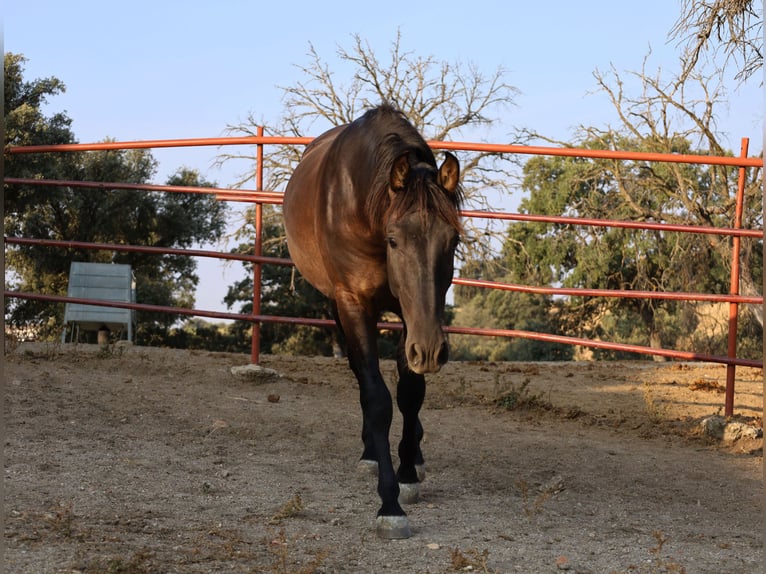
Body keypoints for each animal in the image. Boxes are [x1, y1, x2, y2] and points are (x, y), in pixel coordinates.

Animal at [282, 104, 462, 540]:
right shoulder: (352, 302)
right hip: (337, 304)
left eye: (452, 241)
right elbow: (376, 397)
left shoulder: (414, 317)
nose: (432, 351)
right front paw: (390, 503)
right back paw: (369, 453)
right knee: (360, 375)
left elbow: (410, 392)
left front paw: (408, 472)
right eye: (394, 240)